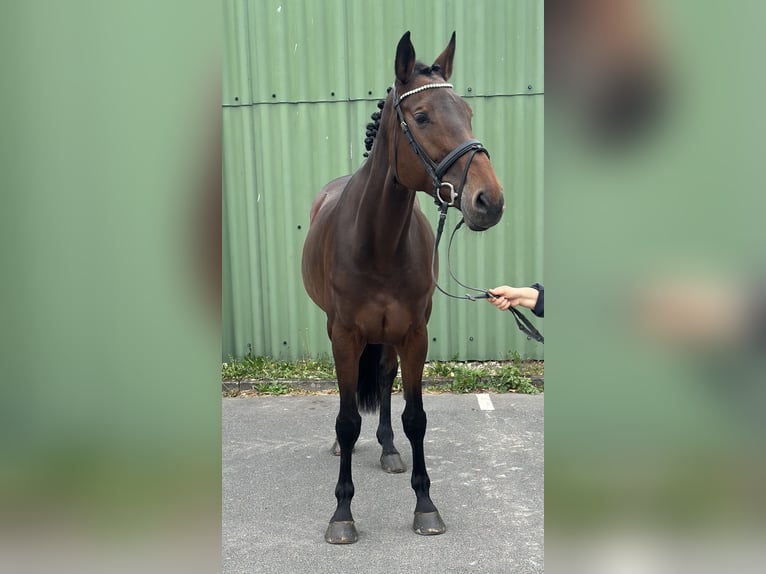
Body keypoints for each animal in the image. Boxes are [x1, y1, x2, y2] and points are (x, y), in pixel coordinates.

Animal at [304, 30, 508, 544]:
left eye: (468, 113)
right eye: (422, 116)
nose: (489, 201)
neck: (377, 242)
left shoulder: (415, 334)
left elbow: (415, 416)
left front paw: (425, 505)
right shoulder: (345, 334)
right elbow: (347, 418)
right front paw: (342, 513)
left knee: (384, 378)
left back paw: (389, 450)